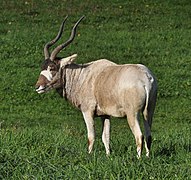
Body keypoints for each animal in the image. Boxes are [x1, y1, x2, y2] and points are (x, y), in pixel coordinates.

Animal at [35, 16, 157, 158]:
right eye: (42, 67)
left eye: (52, 68)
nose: (38, 87)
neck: (82, 75)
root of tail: (146, 79)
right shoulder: (105, 115)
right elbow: (106, 137)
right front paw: (108, 156)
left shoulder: (87, 111)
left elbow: (91, 136)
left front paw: (88, 156)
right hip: (148, 111)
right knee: (148, 135)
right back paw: (147, 157)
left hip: (132, 114)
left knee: (139, 136)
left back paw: (138, 159)